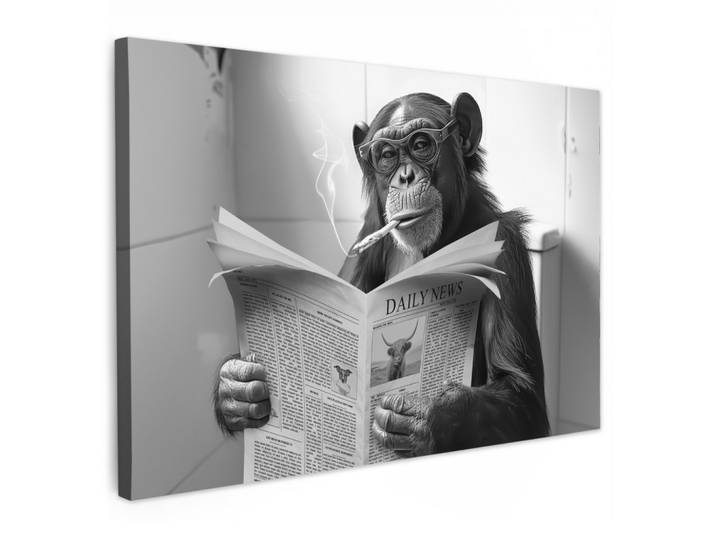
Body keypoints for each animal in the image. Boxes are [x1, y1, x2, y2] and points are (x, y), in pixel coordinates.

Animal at [214, 92, 549, 457]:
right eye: (386, 155)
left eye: (421, 144)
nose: (405, 177)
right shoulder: (366, 237)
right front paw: (237, 387)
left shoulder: (506, 247)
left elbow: (522, 395)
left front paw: (423, 416)